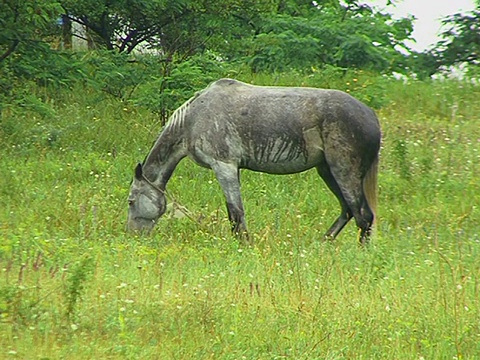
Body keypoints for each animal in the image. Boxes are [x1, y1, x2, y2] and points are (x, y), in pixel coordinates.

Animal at [127, 78, 382, 245]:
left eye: (131, 201)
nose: (132, 235)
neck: (193, 119)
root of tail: (371, 116)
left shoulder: (224, 167)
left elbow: (236, 212)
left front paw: (244, 245)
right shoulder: (232, 169)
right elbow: (234, 213)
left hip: (343, 172)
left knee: (363, 216)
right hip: (327, 171)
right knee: (347, 211)